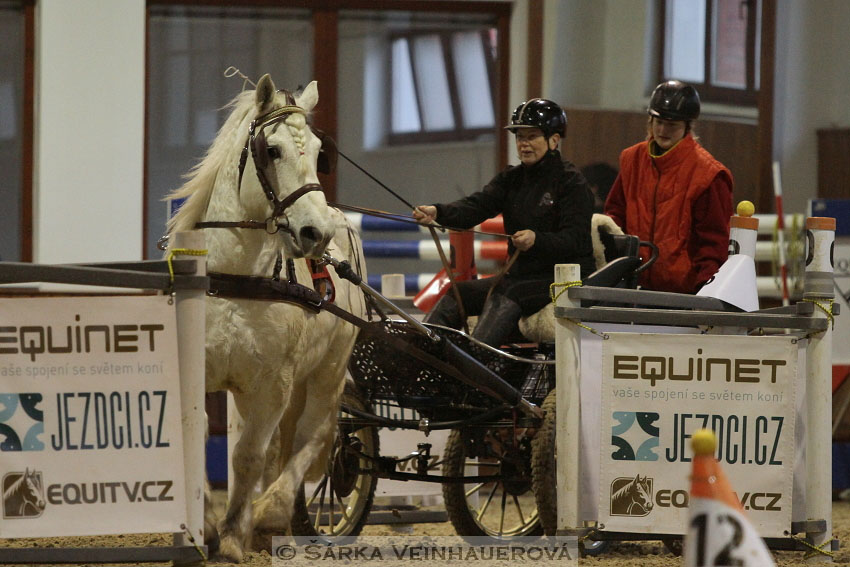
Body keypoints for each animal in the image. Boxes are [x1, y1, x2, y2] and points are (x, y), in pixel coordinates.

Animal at [166, 75, 364, 564]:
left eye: (318, 151)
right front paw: (203, 525)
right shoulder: (200, 371)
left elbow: (248, 456)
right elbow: (197, 437)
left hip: (330, 368)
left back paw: (273, 510)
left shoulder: (273, 384)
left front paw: (234, 534)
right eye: (271, 150)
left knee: (315, 433)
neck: (236, 277)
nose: (315, 234)